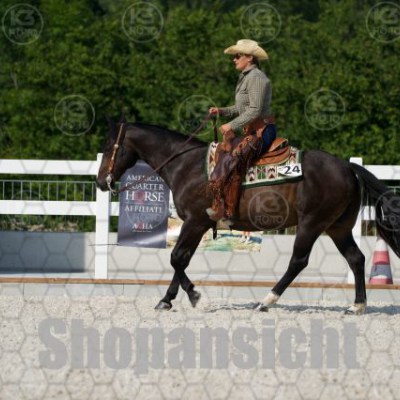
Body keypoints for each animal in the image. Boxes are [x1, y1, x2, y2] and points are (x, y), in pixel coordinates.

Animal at [96, 120, 400, 314]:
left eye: (110, 146)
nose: (101, 182)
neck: (186, 165)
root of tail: (348, 168)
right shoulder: (198, 225)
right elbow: (182, 259)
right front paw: (167, 300)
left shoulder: (195, 221)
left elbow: (176, 258)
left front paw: (195, 297)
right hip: (338, 227)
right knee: (356, 258)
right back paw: (357, 305)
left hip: (311, 224)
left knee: (298, 261)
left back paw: (266, 301)